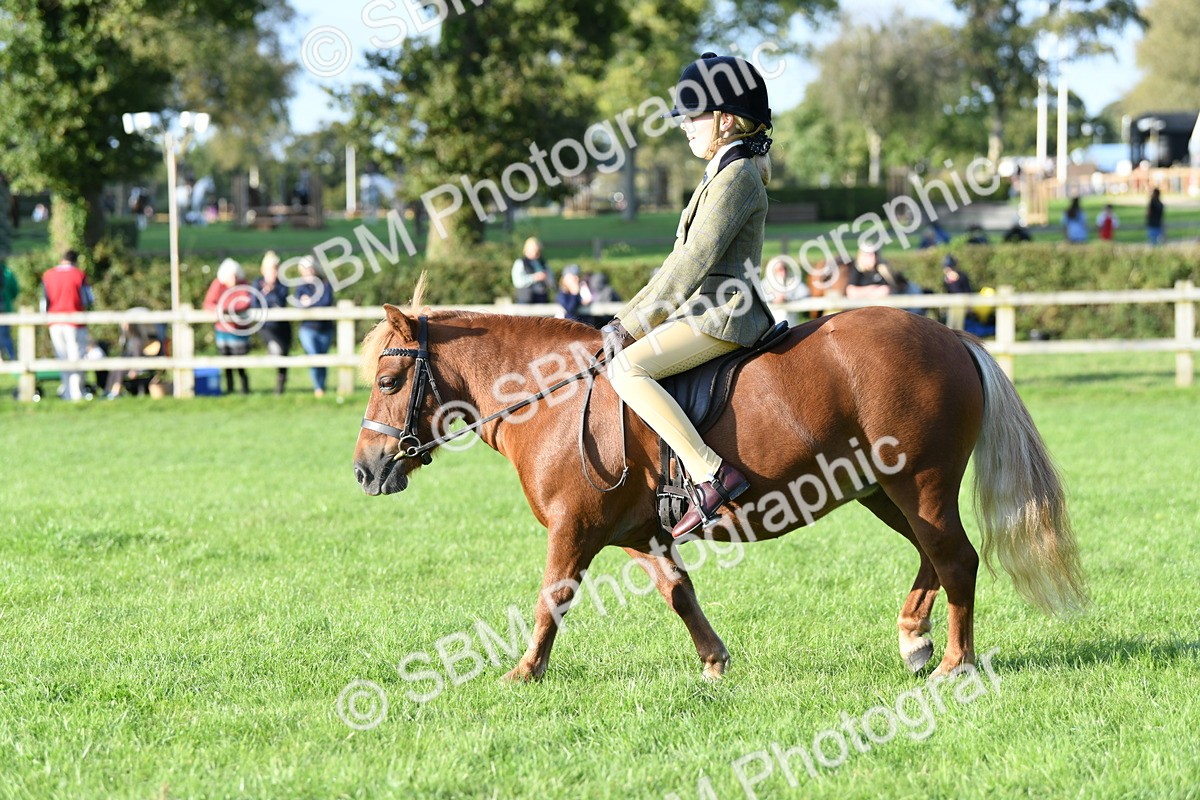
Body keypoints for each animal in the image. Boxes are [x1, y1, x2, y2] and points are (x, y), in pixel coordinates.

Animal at [353, 287, 1086, 683]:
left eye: (389, 380)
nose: (365, 469)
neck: (552, 398)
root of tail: (951, 335)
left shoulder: (575, 527)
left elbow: (550, 599)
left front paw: (524, 672)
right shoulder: (638, 533)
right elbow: (678, 592)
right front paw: (713, 661)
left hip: (919, 482)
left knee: (956, 558)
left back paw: (954, 661)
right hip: (884, 490)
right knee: (934, 556)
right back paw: (915, 637)